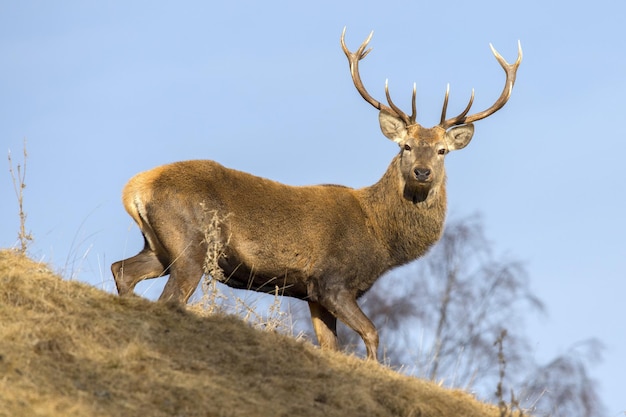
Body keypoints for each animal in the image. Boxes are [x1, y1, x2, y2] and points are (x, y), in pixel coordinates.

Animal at [112, 29, 520, 360]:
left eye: (442, 151)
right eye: (405, 146)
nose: (422, 171)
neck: (382, 240)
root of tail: (134, 188)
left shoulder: (311, 293)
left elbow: (331, 347)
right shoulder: (332, 281)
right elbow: (372, 334)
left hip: (159, 247)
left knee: (122, 270)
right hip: (190, 246)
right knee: (167, 297)